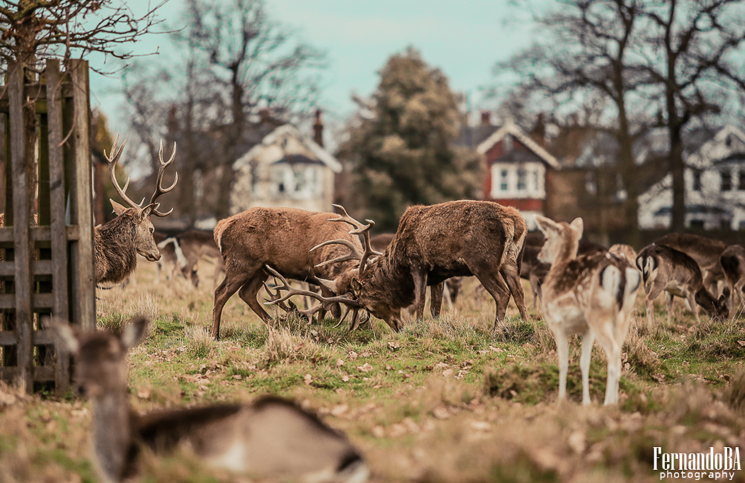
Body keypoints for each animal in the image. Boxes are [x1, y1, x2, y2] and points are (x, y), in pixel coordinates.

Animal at [211, 208, 364, 340]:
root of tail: (220, 227)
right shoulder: (321, 276)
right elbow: (330, 307)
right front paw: (321, 324)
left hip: (261, 269)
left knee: (246, 293)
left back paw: (274, 324)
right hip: (240, 263)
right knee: (220, 292)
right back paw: (215, 335)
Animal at [536, 216, 640, 404]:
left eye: (546, 238)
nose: (539, 254)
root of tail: (620, 269)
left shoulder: (557, 323)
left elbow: (563, 361)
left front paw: (561, 399)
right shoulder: (587, 330)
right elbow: (585, 362)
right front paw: (586, 402)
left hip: (596, 313)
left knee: (613, 351)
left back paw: (608, 403)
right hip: (625, 313)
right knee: (619, 351)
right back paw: (615, 401)